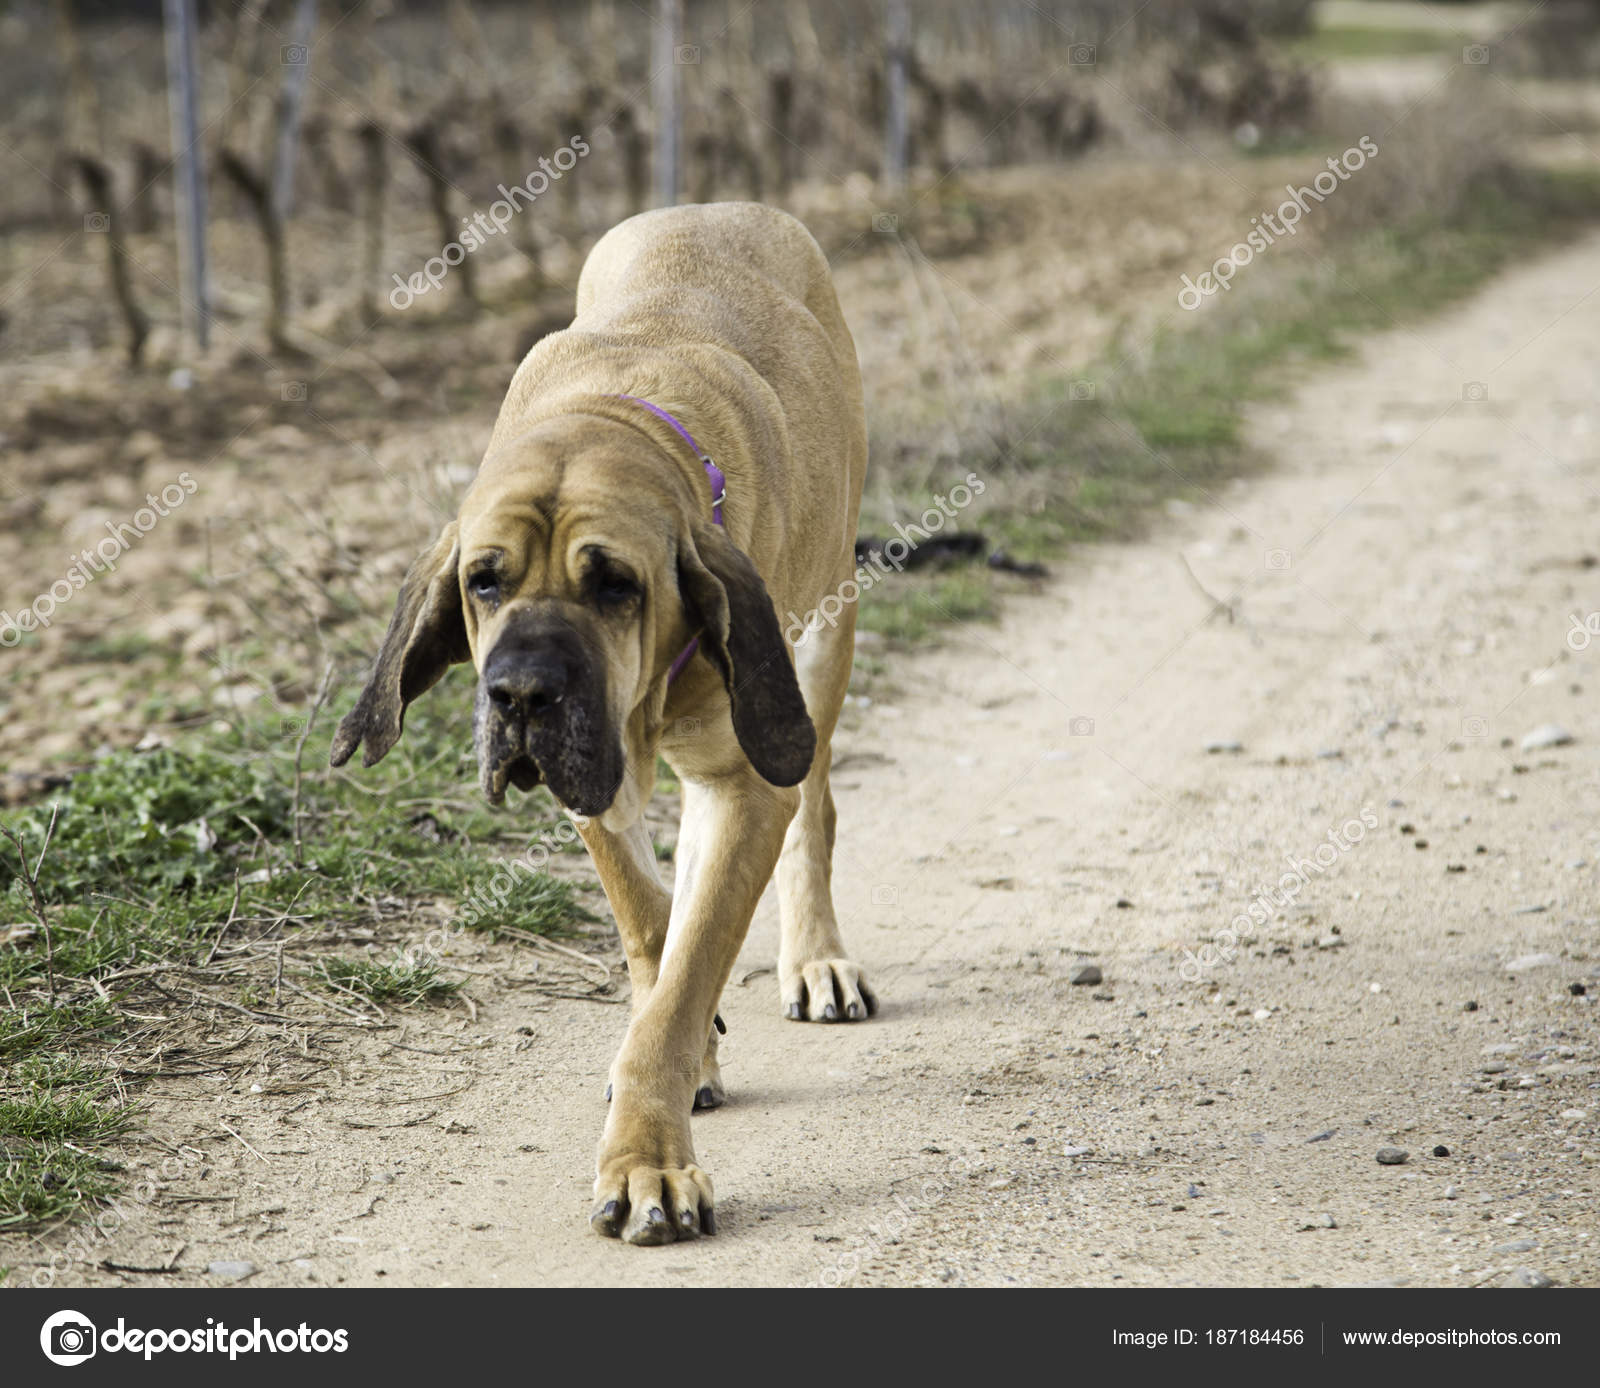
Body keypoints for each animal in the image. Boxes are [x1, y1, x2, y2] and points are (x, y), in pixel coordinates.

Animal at [328, 203, 876, 1247]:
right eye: (483, 581)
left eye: (615, 585)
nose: (521, 695)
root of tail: (724, 206)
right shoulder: (601, 787)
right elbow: (656, 932)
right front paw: (687, 1053)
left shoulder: (750, 779)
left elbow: (687, 967)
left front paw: (648, 1160)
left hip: (823, 638)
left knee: (816, 808)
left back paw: (817, 958)